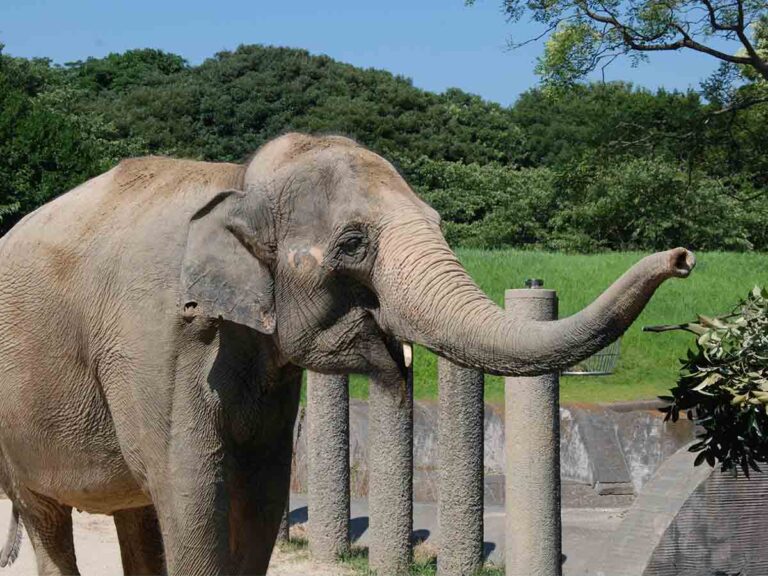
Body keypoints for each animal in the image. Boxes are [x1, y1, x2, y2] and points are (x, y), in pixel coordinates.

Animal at [0, 133, 692, 572]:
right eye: (354, 244)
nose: (682, 257)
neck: (240, 182)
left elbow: (262, 492)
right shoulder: (162, 339)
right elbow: (191, 496)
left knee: (134, 513)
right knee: (47, 517)